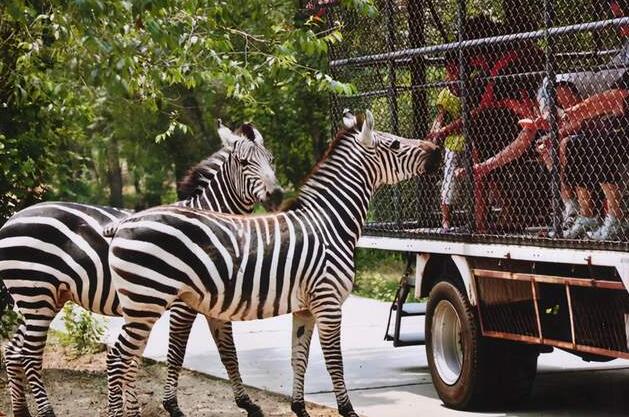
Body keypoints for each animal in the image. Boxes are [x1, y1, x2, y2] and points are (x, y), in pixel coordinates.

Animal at [0, 120, 280, 416]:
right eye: (244, 162)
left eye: (271, 160)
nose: (276, 194)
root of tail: (11, 219)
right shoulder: (182, 305)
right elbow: (176, 352)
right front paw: (171, 405)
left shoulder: (216, 300)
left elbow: (229, 352)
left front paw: (248, 404)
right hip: (36, 295)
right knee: (29, 354)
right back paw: (46, 411)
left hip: (44, 299)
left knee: (14, 351)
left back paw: (21, 411)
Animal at [105, 110, 440, 416]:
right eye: (395, 144)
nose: (437, 150)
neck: (330, 223)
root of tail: (126, 222)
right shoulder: (328, 301)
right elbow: (334, 360)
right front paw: (348, 410)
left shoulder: (305, 307)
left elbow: (298, 357)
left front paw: (299, 408)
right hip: (147, 300)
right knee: (117, 358)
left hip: (140, 305)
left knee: (126, 358)